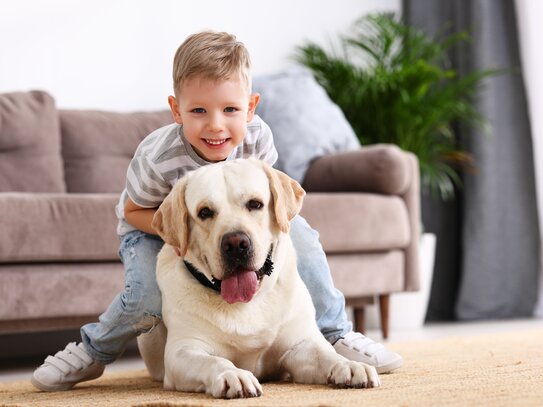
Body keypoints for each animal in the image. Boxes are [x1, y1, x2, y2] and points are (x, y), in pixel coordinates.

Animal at [138, 159, 380, 398]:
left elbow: (325, 354)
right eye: (204, 212)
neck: (248, 303)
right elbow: (214, 361)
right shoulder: (183, 351)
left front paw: (349, 365)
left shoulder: (299, 345)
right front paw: (233, 375)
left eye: (255, 204)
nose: (236, 244)